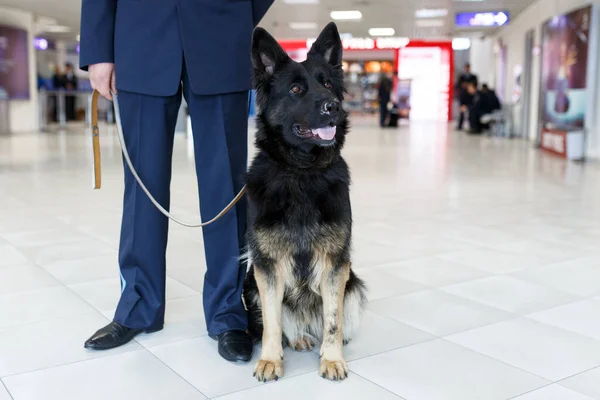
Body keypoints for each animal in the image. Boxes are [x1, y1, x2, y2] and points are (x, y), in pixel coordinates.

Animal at [243, 22, 366, 384]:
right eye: (296, 89)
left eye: (327, 84)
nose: (333, 106)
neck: (301, 172)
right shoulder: (267, 266)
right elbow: (272, 322)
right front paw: (270, 360)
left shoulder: (335, 264)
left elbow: (332, 321)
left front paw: (332, 359)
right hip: (250, 285)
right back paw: (298, 337)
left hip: (353, 284)